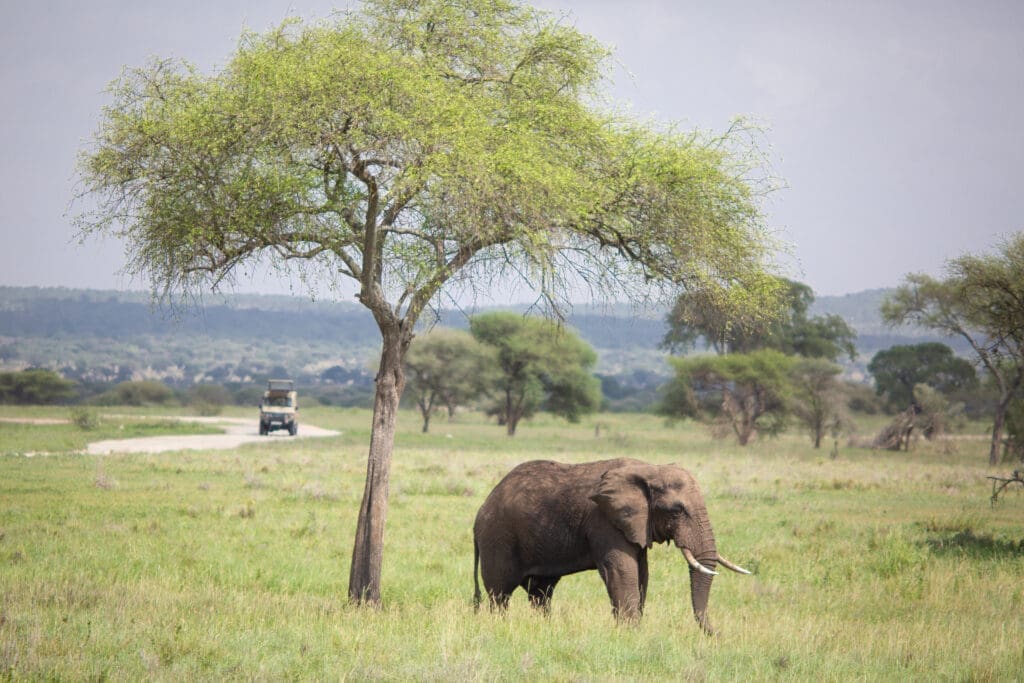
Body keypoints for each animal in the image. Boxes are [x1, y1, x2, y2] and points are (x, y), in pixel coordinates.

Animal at [473, 456, 753, 634]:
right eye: (676, 510)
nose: (718, 634)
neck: (649, 469)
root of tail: (481, 510)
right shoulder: (604, 520)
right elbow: (621, 570)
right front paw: (631, 633)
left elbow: (642, 573)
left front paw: (634, 629)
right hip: (498, 539)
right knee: (500, 593)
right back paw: (501, 627)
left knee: (541, 593)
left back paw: (545, 628)